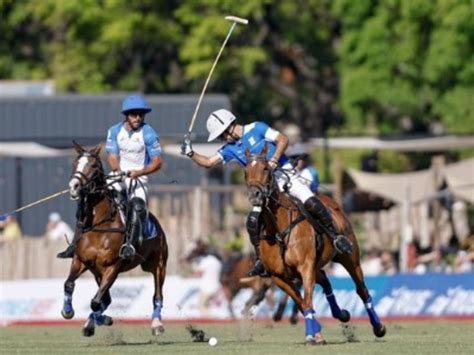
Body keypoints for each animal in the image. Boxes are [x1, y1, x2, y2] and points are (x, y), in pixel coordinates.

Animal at [61, 143, 168, 338]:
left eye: (93, 166)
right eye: (75, 163)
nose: (74, 186)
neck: (99, 224)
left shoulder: (113, 267)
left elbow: (96, 302)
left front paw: (104, 320)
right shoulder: (81, 261)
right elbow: (69, 284)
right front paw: (68, 311)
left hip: (159, 264)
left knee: (157, 295)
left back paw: (157, 324)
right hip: (97, 272)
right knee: (106, 299)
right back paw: (90, 323)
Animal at [244, 145, 386, 344]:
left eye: (266, 169)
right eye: (245, 172)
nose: (255, 195)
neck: (278, 230)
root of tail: (331, 202)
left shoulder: (305, 267)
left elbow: (307, 300)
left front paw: (312, 336)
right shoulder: (278, 276)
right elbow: (301, 302)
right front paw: (316, 333)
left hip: (350, 259)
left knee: (362, 290)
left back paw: (378, 327)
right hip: (317, 266)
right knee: (326, 280)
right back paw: (342, 314)